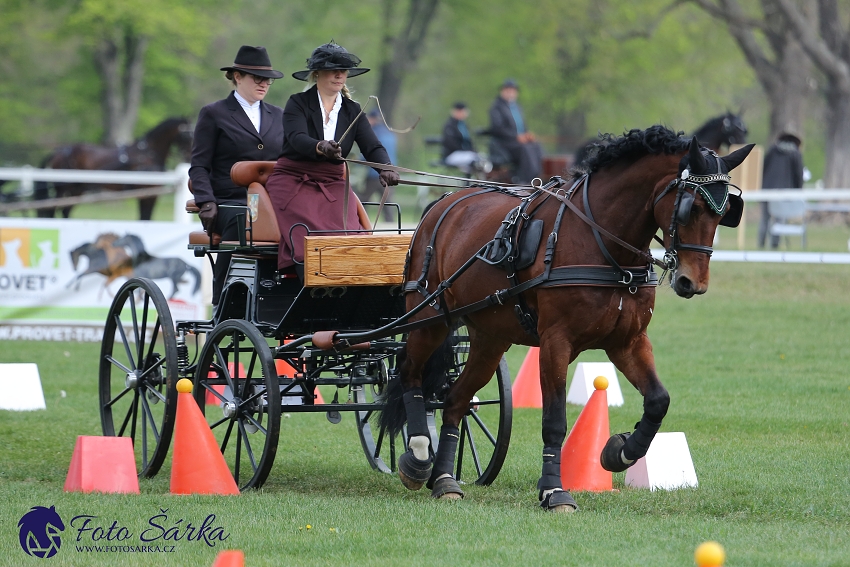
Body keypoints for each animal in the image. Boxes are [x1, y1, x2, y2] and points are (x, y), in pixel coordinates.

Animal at [34, 117, 191, 220]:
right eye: (187, 134)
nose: (188, 157)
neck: (147, 153)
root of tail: (60, 151)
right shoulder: (149, 194)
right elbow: (145, 218)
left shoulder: (147, 195)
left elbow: (144, 218)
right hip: (63, 189)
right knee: (53, 210)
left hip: (76, 190)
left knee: (64, 212)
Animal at [380, 126, 752, 512]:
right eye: (691, 207)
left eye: (725, 212)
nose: (693, 282)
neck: (602, 242)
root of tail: (442, 205)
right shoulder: (555, 343)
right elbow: (555, 420)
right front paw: (553, 490)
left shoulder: (628, 342)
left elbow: (658, 400)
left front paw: (620, 452)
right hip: (429, 319)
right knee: (409, 371)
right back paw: (418, 457)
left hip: (490, 338)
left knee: (455, 399)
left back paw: (444, 480)